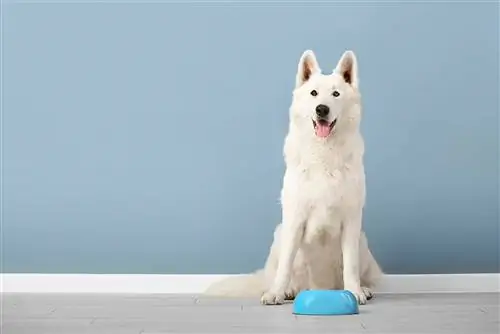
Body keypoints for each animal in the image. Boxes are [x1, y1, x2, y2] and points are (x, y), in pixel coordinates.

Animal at [205, 50, 380, 306]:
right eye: (314, 93)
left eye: (336, 94)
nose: (322, 109)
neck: (324, 153)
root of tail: (318, 288)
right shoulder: (295, 218)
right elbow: (286, 264)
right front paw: (276, 293)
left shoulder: (351, 221)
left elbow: (351, 264)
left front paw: (354, 291)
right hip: (280, 233)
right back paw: (287, 290)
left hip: (362, 239)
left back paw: (362, 288)